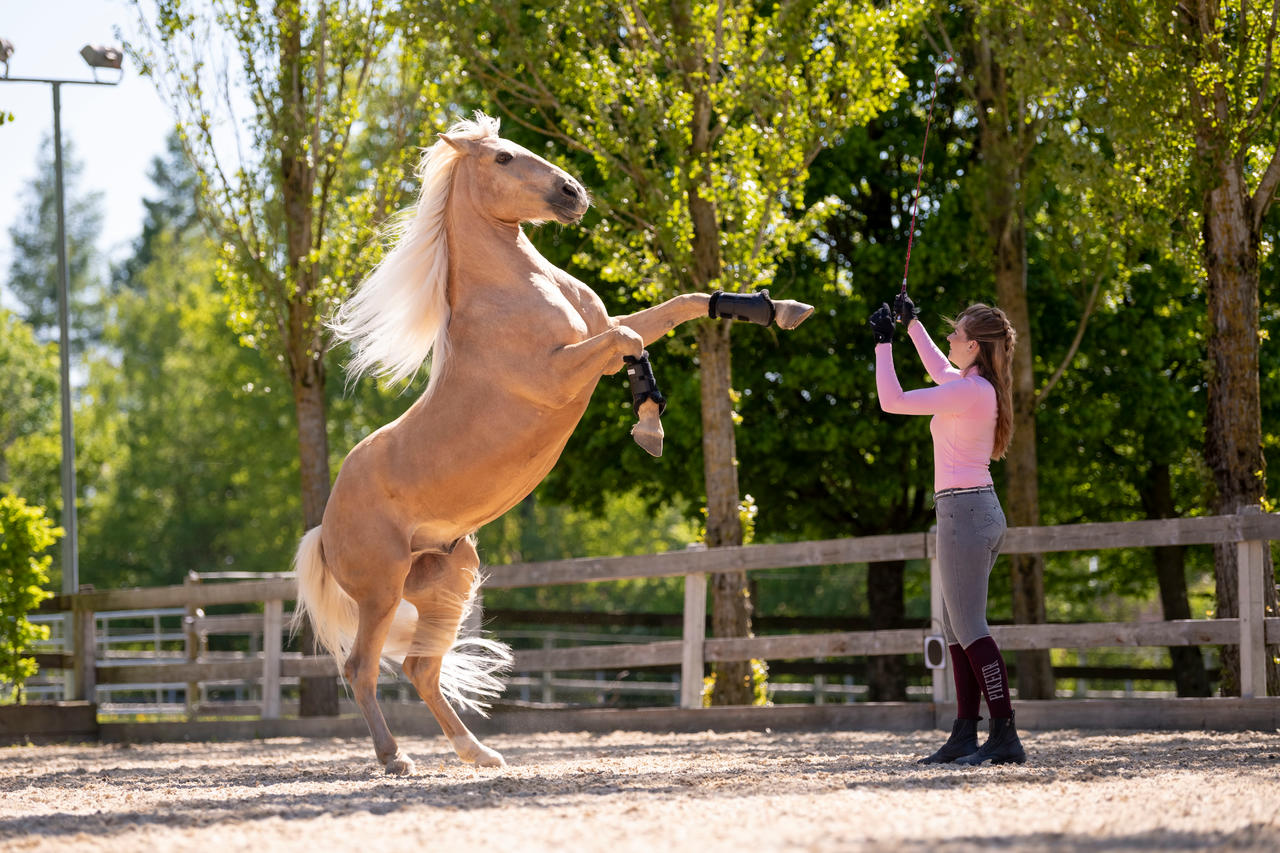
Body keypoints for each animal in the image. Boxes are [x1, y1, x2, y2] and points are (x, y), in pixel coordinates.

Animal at [293, 112, 808, 768]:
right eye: (503, 158)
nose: (574, 194)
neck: (517, 286)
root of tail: (323, 528)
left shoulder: (600, 335)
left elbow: (681, 305)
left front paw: (779, 307)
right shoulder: (563, 371)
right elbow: (629, 344)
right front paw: (649, 423)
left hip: (448, 580)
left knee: (420, 669)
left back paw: (480, 755)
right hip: (381, 593)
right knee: (362, 667)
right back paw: (395, 758)